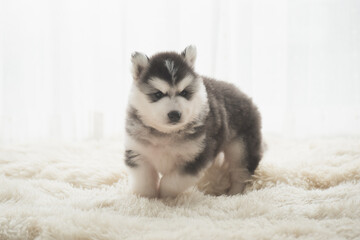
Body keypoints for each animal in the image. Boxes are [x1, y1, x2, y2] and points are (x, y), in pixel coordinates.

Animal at [124, 46, 262, 198]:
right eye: (158, 94)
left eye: (184, 93)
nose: (174, 115)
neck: (167, 134)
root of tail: (244, 96)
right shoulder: (138, 153)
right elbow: (144, 181)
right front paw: (147, 198)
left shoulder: (196, 157)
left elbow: (171, 182)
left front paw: (165, 196)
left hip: (241, 148)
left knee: (241, 173)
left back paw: (234, 194)